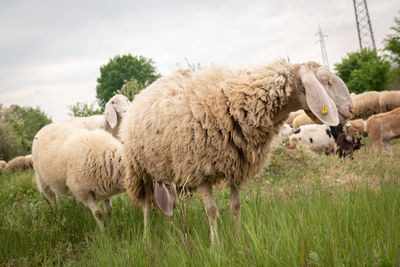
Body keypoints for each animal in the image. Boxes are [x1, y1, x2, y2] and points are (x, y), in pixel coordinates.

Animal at [119, 59, 354, 246]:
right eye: (326, 81)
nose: (351, 109)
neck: (238, 101)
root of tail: (145, 90)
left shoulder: (235, 166)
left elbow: (236, 206)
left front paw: (239, 240)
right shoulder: (199, 169)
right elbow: (212, 211)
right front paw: (216, 248)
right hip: (138, 169)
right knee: (146, 205)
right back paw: (147, 238)